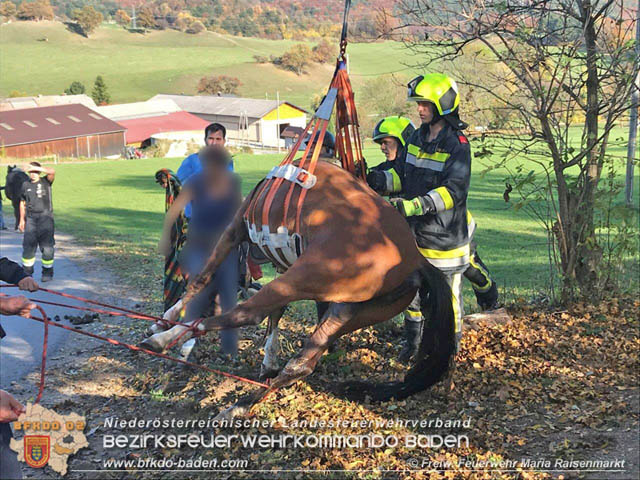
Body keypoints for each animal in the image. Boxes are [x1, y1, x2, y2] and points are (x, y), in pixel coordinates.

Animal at [142, 159, 458, 418]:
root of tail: (414, 259)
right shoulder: (283, 265)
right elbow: (276, 315)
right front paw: (268, 361)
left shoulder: (234, 232)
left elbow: (202, 279)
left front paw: (164, 321)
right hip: (348, 311)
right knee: (302, 363)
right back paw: (240, 406)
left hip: (304, 276)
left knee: (248, 313)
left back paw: (165, 340)